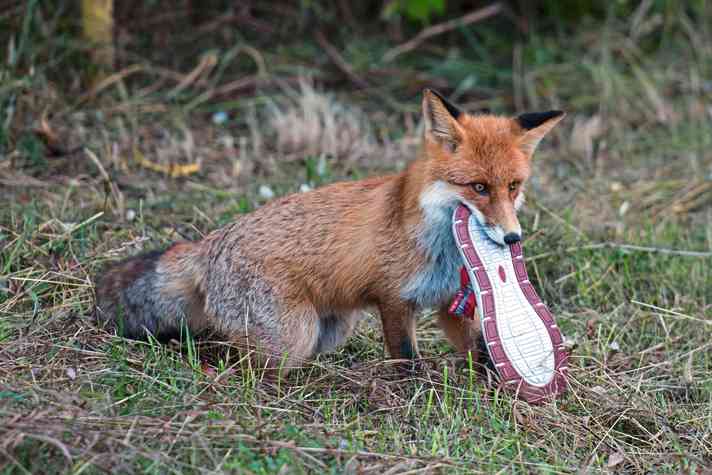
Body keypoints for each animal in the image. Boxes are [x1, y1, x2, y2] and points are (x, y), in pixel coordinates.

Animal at [94, 89, 564, 374]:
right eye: (478, 188)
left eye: (513, 186)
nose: (512, 239)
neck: (441, 246)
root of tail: (211, 242)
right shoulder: (394, 299)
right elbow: (406, 358)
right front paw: (414, 392)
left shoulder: (451, 301)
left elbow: (481, 349)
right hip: (294, 334)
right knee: (238, 356)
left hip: (331, 327)